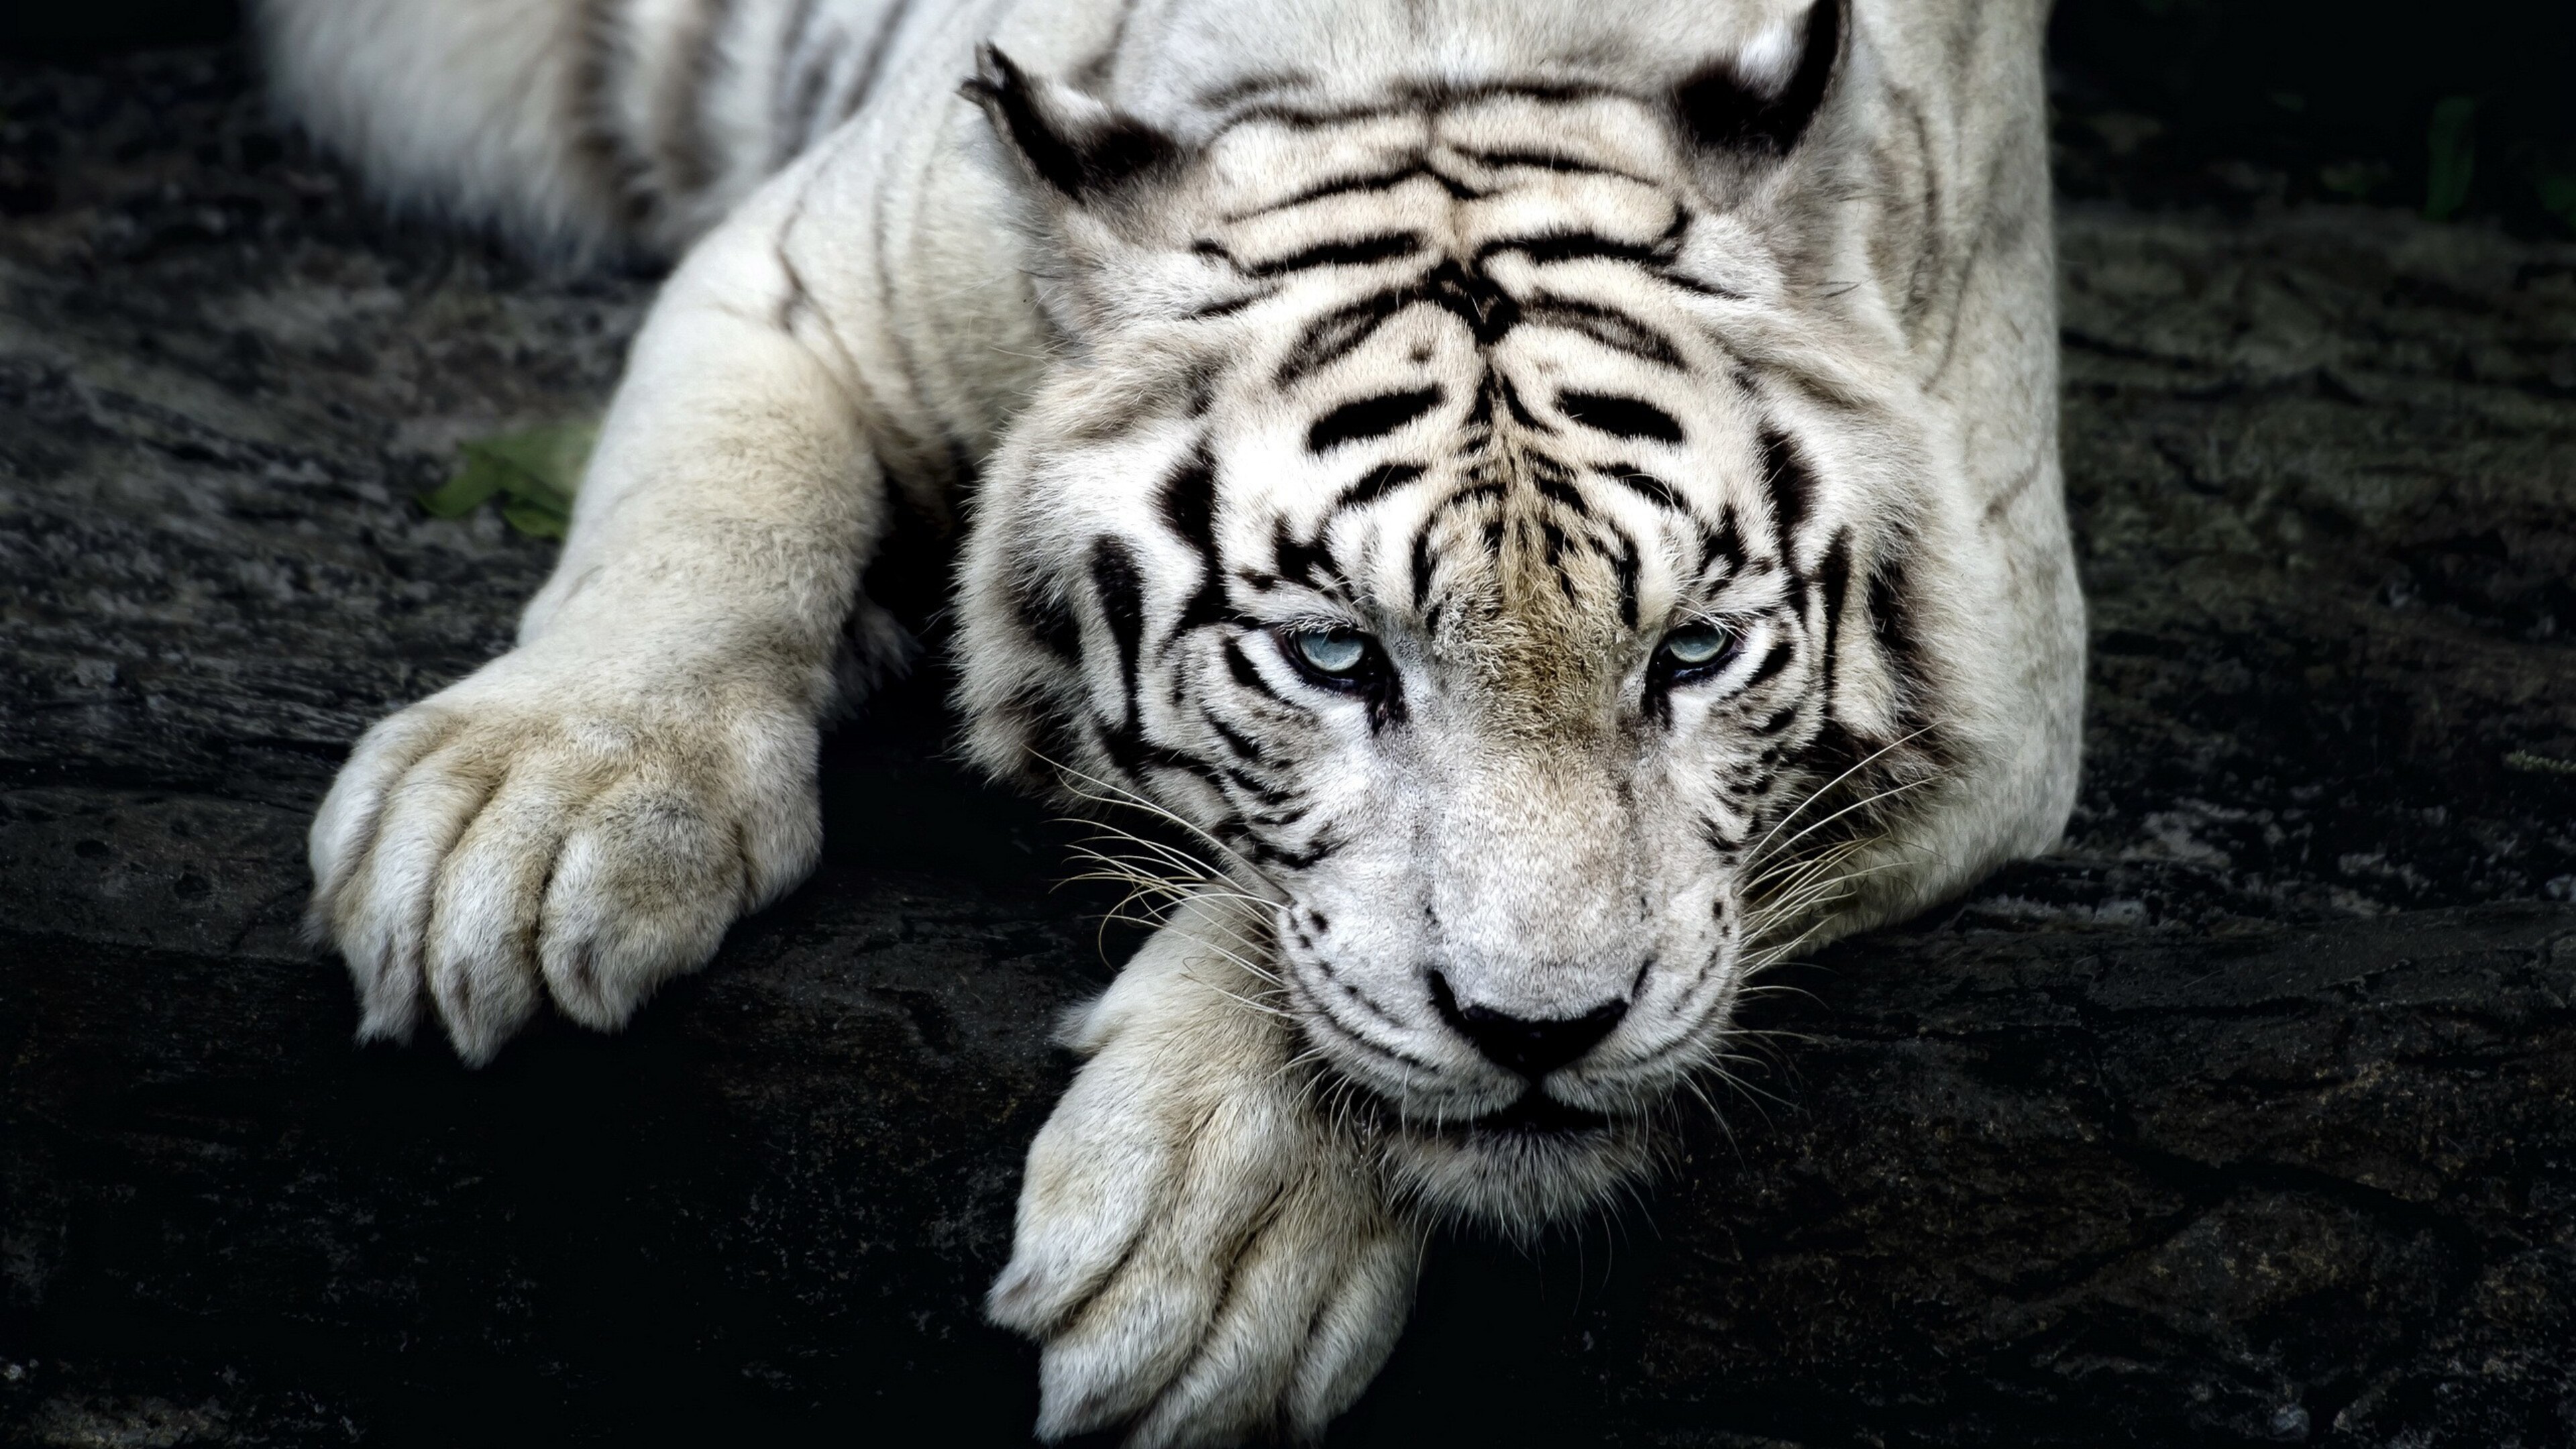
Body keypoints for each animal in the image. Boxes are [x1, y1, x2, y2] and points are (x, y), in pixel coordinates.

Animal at [266, 0, 2083, 1440]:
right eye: (1334, 657)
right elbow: (705, 521)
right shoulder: (801, 276)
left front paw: (1206, 1242)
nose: (1544, 1033)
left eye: (1693, 652)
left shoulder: (2006, 676)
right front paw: (515, 828)